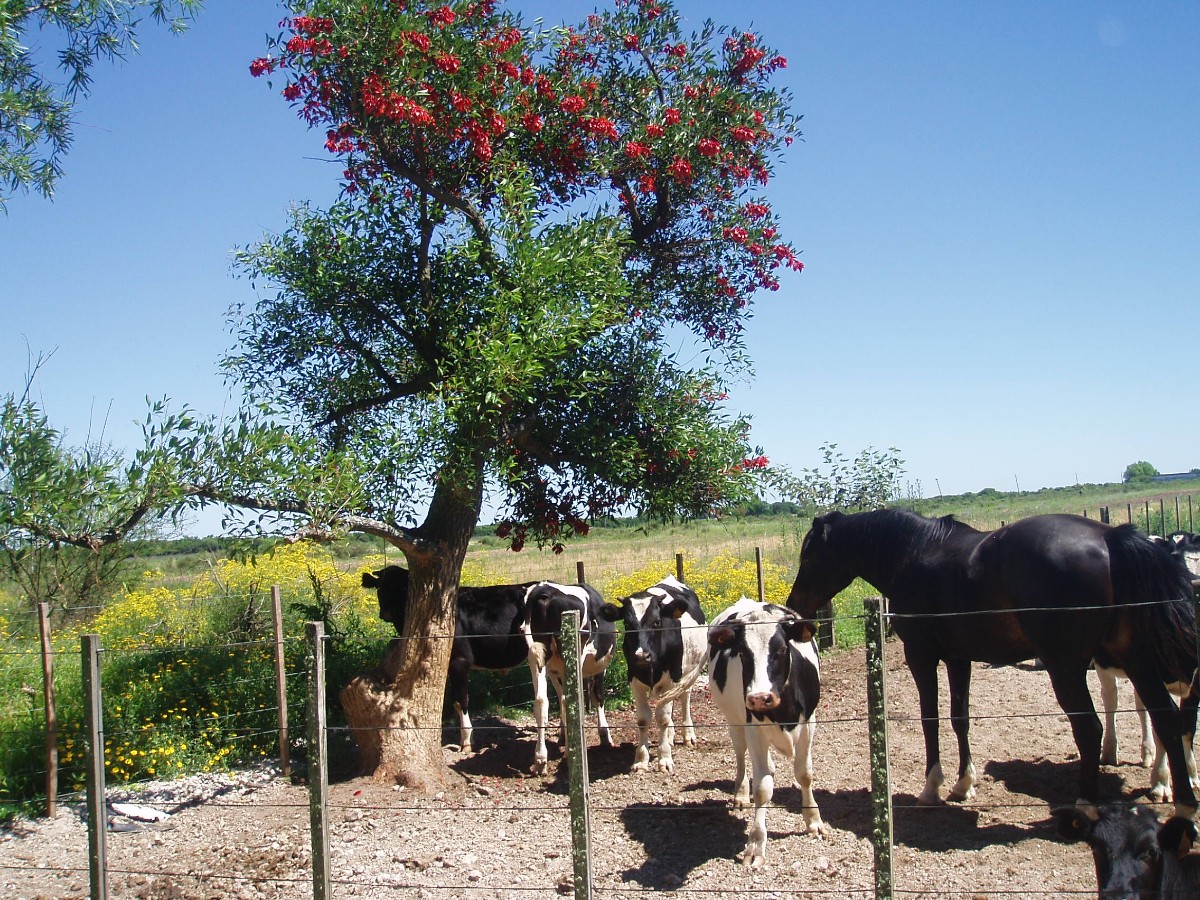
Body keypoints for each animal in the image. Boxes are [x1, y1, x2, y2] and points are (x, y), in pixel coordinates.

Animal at [360, 565, 535, 752]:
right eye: (380, 586)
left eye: (403, 587)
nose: (386, 612)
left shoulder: (460, 661)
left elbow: (460, 701)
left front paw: (466, 741)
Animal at [523, 581, 618, 774]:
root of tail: (544, 590)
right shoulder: (600, 666)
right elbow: (597, 696)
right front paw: (605, 735)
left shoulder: (554, 672)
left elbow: (559, 699)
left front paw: (562, 735)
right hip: (574, 653)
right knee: (572, 698)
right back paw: (570, 753)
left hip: (535, 653)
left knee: (541, 700)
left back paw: (541, 758)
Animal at [600, 575, 707, 774]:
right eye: (627, 623)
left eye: (657, 622)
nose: (641, 655)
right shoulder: (634, 680)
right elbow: (644, 719)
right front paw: (641, 759)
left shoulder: (673, 678)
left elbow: (662, 718)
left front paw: (664, 759)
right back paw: (671, 736)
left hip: (688, 672)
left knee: (684, 697)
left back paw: (688, 735)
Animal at [707, 597, 826, 867]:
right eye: (742, 652)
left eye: (781, 650)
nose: (760, 697)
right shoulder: (754, 728)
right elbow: (762, 789)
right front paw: (756, 844)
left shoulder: (809, 725)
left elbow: (804, 774)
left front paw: (813, 820)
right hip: (735, 720)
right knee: (741, 755)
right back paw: (741, 793)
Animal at [785, 509, 1198, 816]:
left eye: (810, 554)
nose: (794, 609)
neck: (914, 553)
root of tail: (1111, 540)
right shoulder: (958, 658)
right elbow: (960, 718)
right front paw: (963, 784)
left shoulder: (921, 656)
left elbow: (930, 719)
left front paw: (931, 787)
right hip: (1137, 662)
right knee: (1166, 719)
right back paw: (1182, 803)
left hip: (1067, 668)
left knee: (1090, 729)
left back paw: (1086, 804)